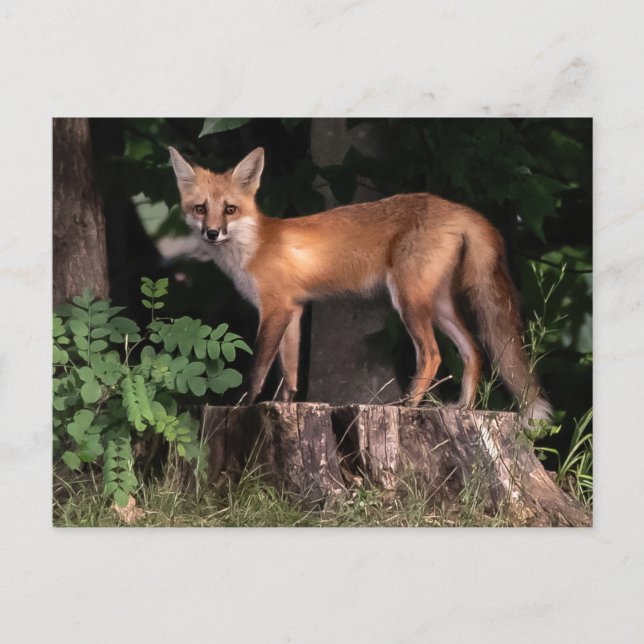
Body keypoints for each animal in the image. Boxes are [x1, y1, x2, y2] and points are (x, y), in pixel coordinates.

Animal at [169, 146, 551, 421]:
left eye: (230, 209)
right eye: (201, 208)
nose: (212, 233)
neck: (254, 245)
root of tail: (457, 208)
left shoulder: (275, 309)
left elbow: (257, 369)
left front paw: (242, 405)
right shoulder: (293, 309)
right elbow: (290, 372)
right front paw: (284, 407)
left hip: (409, 301)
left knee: (432, 354)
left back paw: (406, 407)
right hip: (438, 304)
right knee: (473, 351)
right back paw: (464, 408)